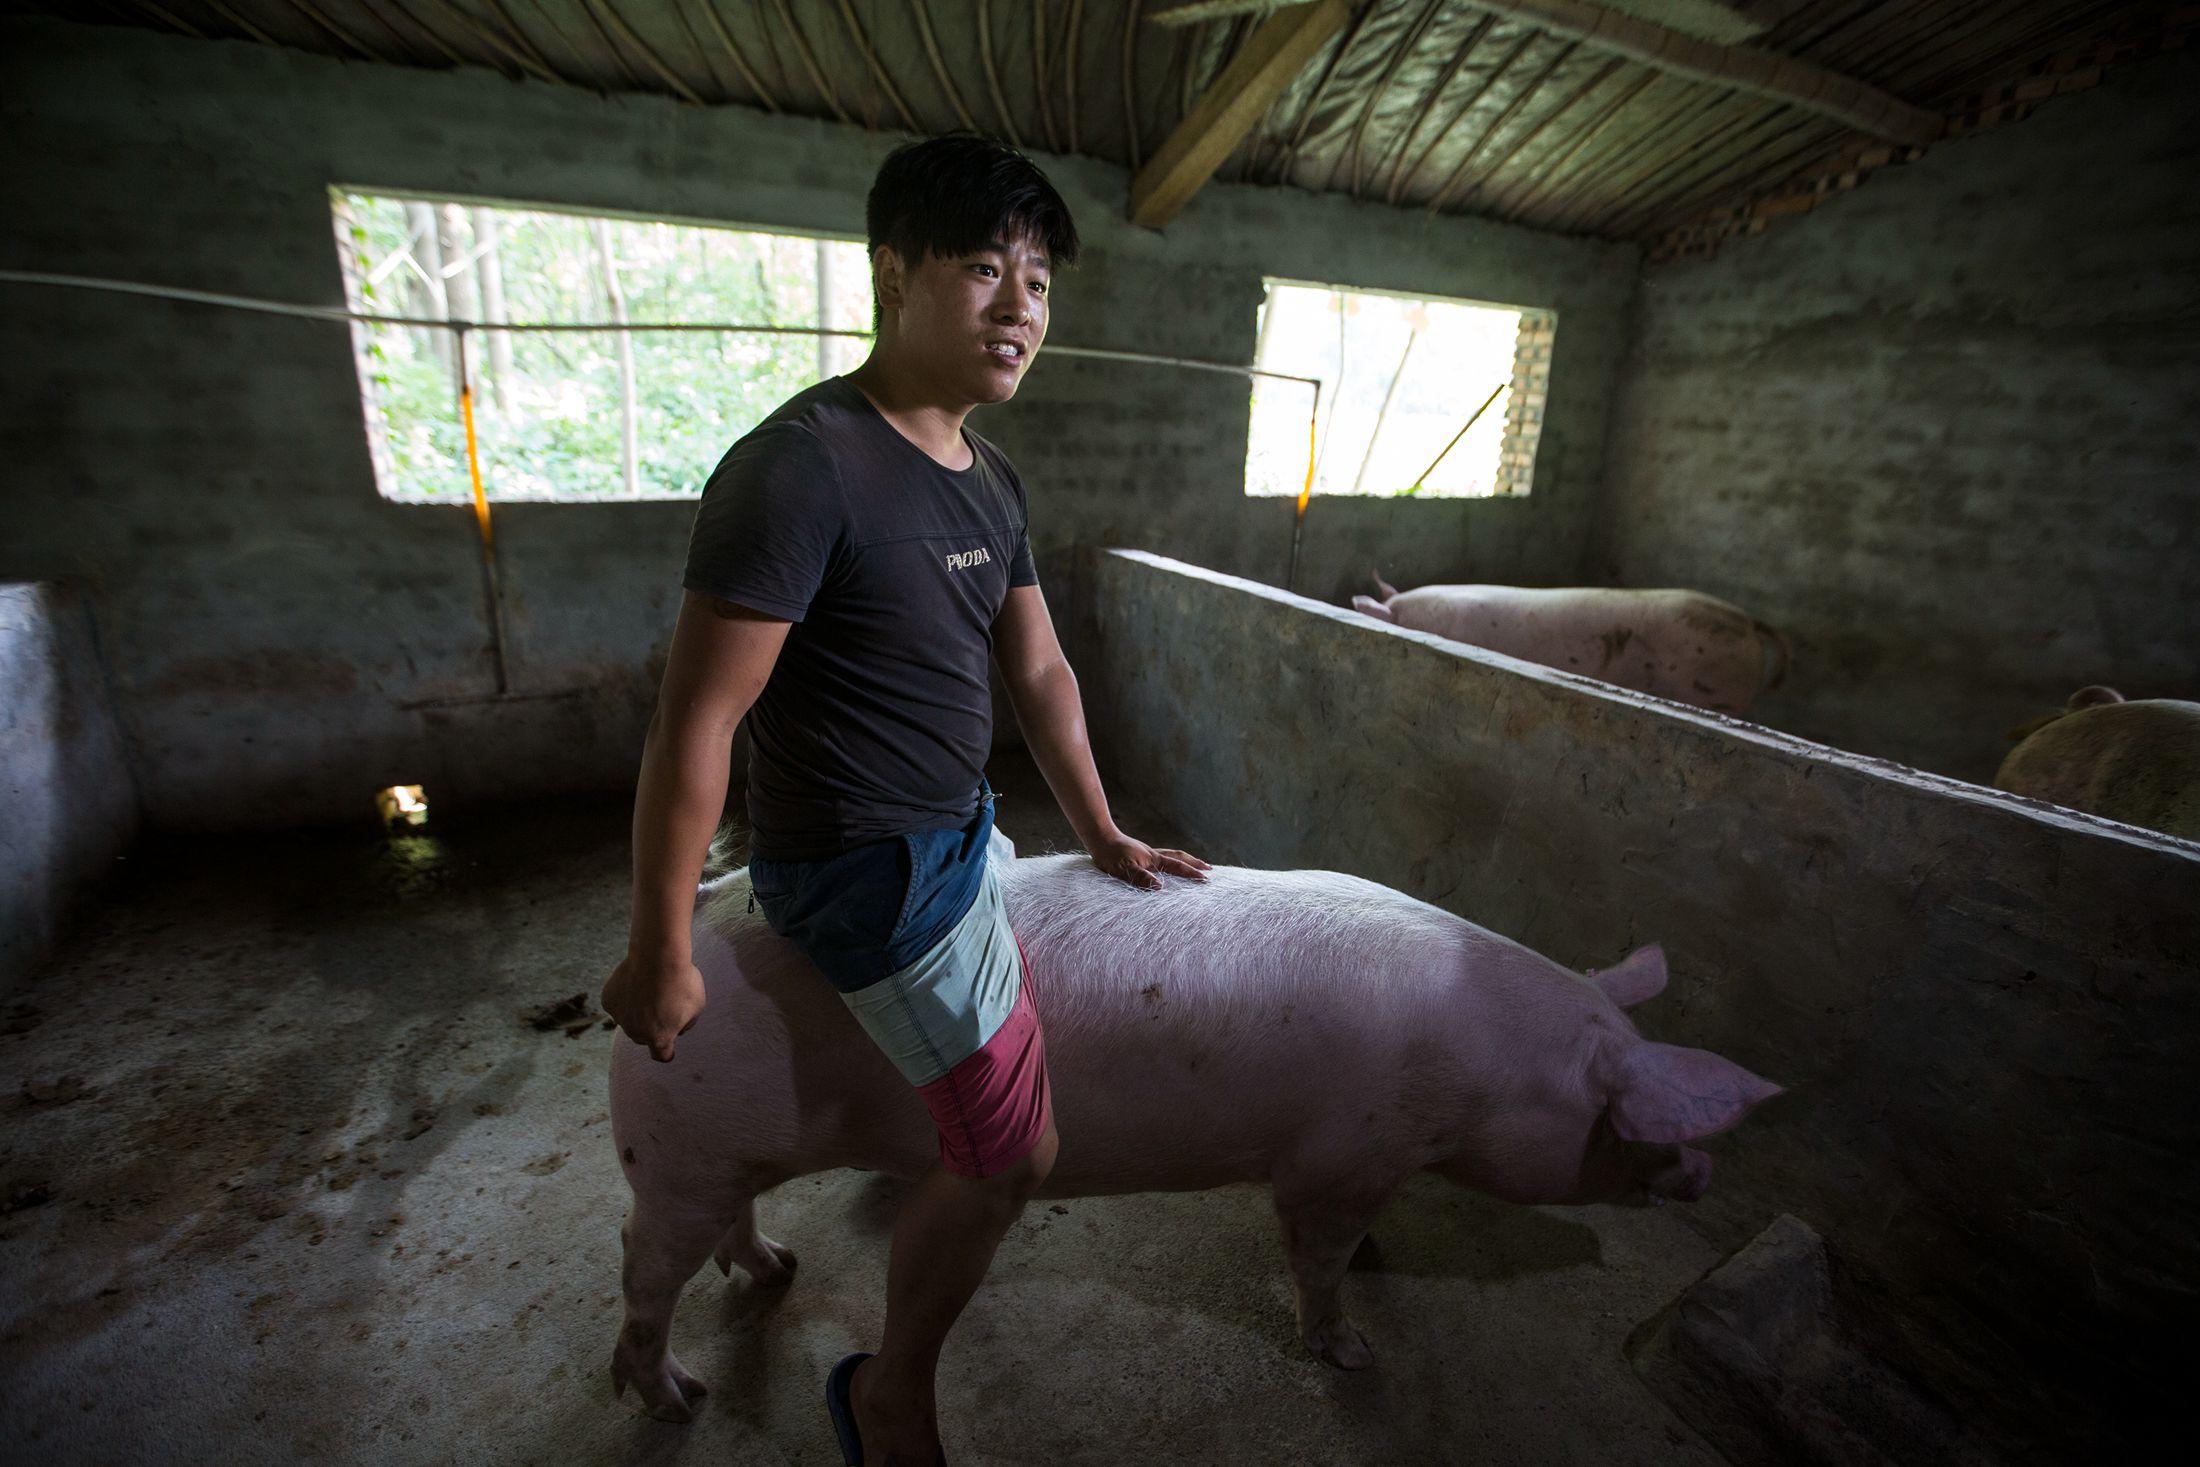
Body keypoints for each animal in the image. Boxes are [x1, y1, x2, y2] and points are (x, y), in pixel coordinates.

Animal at [611, 848, 1777, 1425]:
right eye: (1622, 1118)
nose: (1701, 1165)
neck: (1482, 1073)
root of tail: (682, 929)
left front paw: (1381, 1259)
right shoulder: (1332, 1158)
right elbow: (1315, 1256)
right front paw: (1350, 1351)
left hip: (725, 1154)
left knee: (736, 1222)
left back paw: (776, 1267)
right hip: (674, 1156)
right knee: (643, 1266)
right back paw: (676, 1398)